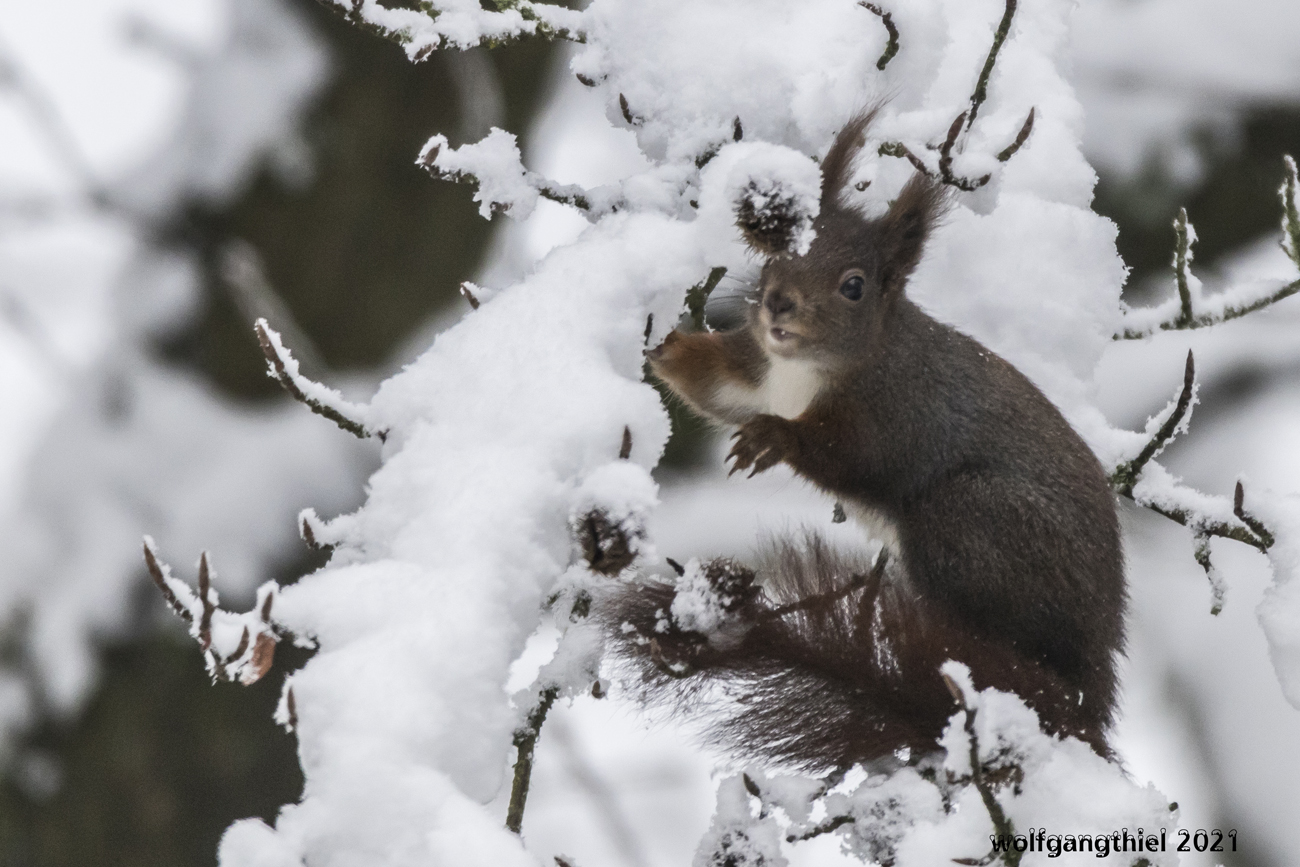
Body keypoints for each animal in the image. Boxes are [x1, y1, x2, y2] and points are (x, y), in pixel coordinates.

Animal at [595, 111, 1123, 769]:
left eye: (854, 286)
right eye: (776, 256)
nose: (778, 304)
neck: (807, 371)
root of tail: (1091, 690)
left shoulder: (897, 413)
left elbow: (851, 457)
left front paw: (775, 439)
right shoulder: (758, 373)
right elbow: (713, 385)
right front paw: (664, 344)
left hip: (976, 522)